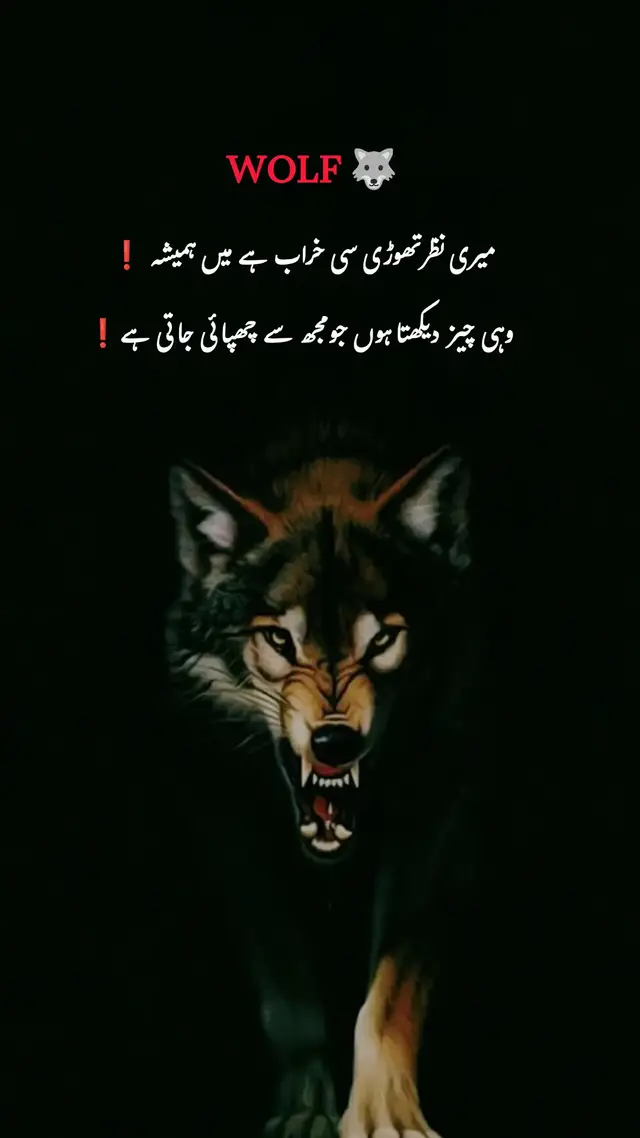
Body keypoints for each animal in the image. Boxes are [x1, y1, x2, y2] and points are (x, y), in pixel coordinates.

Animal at [166, 422, 482, 1137]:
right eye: (281, 641)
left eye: (383, 640)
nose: (336, 742)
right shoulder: (223, 819)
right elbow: (288, 990)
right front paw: (306, 1107)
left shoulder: (436, 822)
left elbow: (388, 993)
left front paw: (386, 1111)